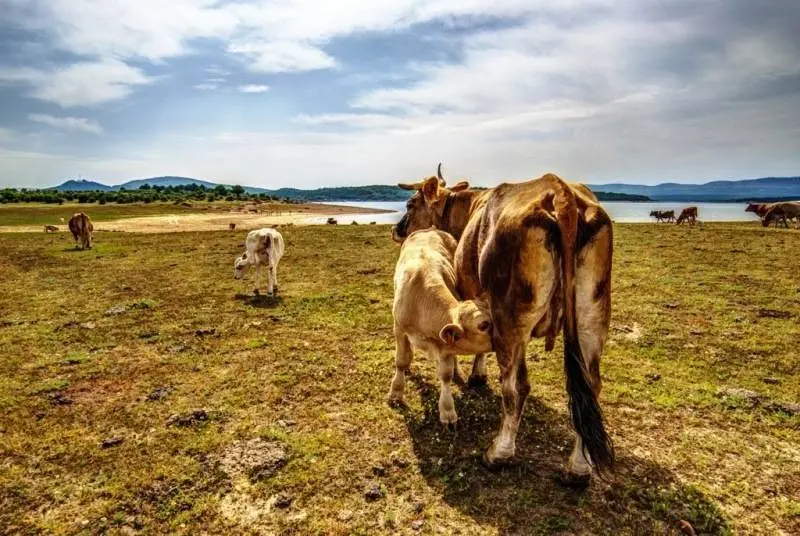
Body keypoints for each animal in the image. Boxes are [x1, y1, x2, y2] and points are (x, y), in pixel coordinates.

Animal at [389, 228, 493, 426]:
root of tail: (430, 229)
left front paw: (447, 411)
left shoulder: (444, 345)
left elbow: (446, 375)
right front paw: (396, 393)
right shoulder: (399, 329)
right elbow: (401, 361)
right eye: (483, 324)